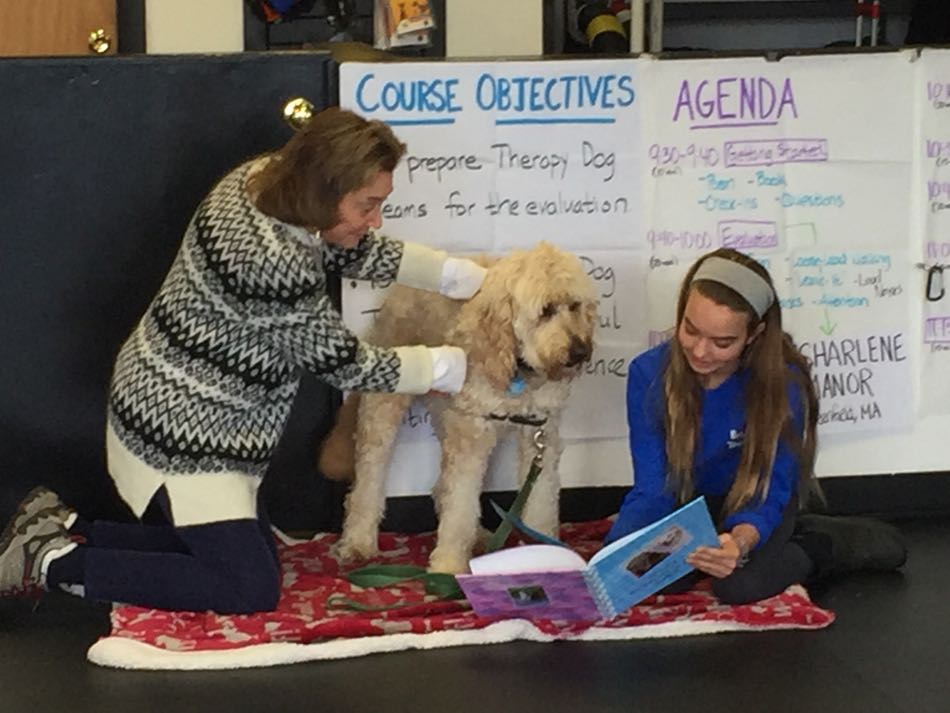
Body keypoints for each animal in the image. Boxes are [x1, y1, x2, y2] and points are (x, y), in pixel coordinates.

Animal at [324, 242, 600, 572]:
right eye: (545, 311)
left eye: (575, 306)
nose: (581, 351)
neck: (517, 370)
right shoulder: (472, 433)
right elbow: (460, 506)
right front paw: (448, 567)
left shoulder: (540, 433)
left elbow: (541, 498)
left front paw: (547, 553)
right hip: (385, 408)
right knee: (368, 479)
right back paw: (358, 541)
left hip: (448, 414)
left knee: (442, 485)